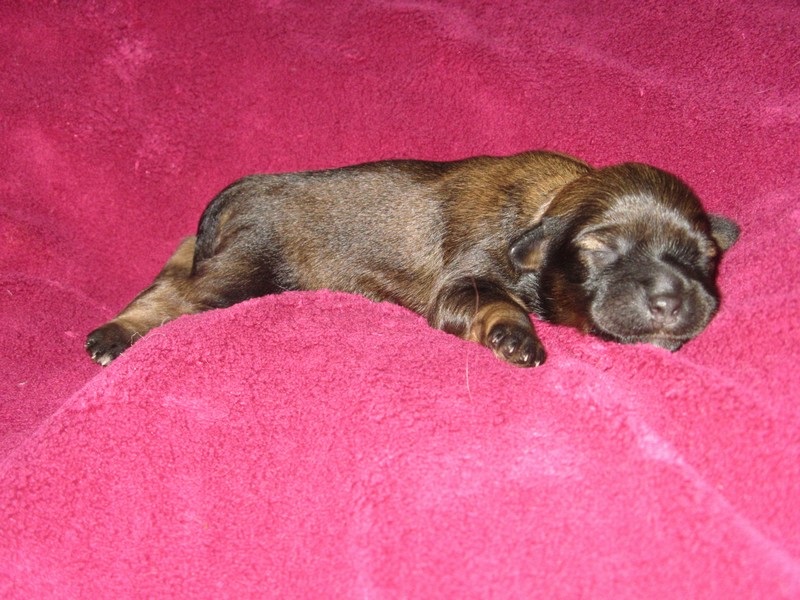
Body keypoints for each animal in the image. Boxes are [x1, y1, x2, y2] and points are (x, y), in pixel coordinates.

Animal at [86, 150, 739, 367]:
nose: (673, 300)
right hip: (244, 269)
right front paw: (516, 339)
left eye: (705, 258)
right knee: (171, 299)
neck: (547, 203)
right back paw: (113, 337)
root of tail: (243, 189)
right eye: (601, 248)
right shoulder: (464, 282)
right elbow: (498, 305)